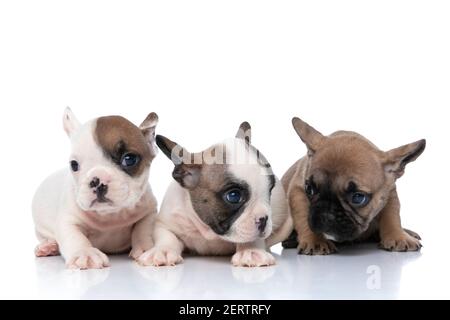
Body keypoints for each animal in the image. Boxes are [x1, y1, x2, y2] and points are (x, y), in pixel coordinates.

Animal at [33, 109, 160, 268]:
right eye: (74, 165)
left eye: (129, 159)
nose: (97, 180)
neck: (111, 215)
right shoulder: (68, 219)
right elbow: (74, 236)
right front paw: (85, 253)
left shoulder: (149, 212)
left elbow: (143, 229)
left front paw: (145, 248)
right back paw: (49, 247)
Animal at [137, 122, 292, 268]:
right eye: (233, 196)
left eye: (270, 189)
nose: (264, 219)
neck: (208, 231)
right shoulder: (165, 223)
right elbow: (167, 237)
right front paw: (162, 251)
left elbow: (252, 238)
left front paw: (250, 251)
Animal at [284, 117, 428, 255]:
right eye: (309, 189)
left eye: (358, 197)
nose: (326, 213)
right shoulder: (297, 191)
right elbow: (303, 217)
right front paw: (315, 241)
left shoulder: (390, 192)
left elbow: (392, 216)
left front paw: (398, 236)